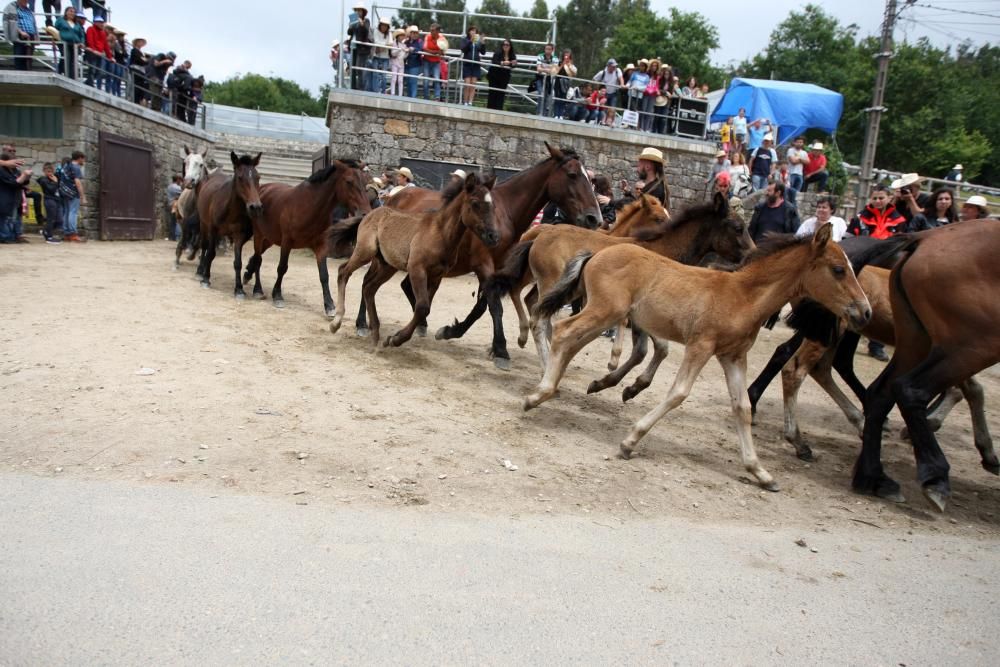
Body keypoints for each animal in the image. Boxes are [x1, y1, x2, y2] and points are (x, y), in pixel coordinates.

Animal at [195, 153, 264, 298]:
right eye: (240, 177)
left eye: (258, 177)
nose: (255, 207)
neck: (230, 211)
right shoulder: (213, 230)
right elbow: (210, 253)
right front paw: (206, 279)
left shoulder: (239, 235)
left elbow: (238, 262)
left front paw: (239, 289)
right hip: (203, 224)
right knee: (204, 246)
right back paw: (200, 271)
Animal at [240, 162, 374, 318]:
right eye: (349, 182)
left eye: (365, 183)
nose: (366, 213)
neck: (309, 207)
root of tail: (262, 189)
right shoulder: (286, 243)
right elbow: (282, 268)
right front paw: (277, 295)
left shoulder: (321, 247)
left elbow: (324, 275)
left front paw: (329, 305)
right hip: (259, 235)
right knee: (258, 258)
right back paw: (258, 289)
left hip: (270, 239)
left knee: (257, 257)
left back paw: (248, 274)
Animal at [328, 172, 500, 350]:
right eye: (475, 203)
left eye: (493, 206)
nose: (493, 236)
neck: (440, 233)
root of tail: (370, 213)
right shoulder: (417, 269)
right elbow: (422, 306)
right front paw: (396, 339)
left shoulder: (437, 276)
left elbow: (425, 307)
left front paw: (393, 338)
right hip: (365, 252)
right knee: (344, 271)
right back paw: (336, 322)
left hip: (387, 266)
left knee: (369, 288)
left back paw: (375, 333)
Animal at [354, 144, 600, 370]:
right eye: (572, 174)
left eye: (590, 179)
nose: (594, 218)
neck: (504, 214)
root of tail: (395, 196)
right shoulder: (484, 266)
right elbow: (493, 306)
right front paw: (500, 350)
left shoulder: (496, 269)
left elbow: (482, 306)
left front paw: (451, 331)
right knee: (368, 282)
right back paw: (362, 324)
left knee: (403, 286)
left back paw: (420, 324)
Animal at [852, 219, 1000, 512]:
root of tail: (925, 237)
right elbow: (969, 391)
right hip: (974, 345)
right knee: (911, 389)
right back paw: (935, 477)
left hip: (916, 340)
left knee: (880, 393)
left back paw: (875, 478)